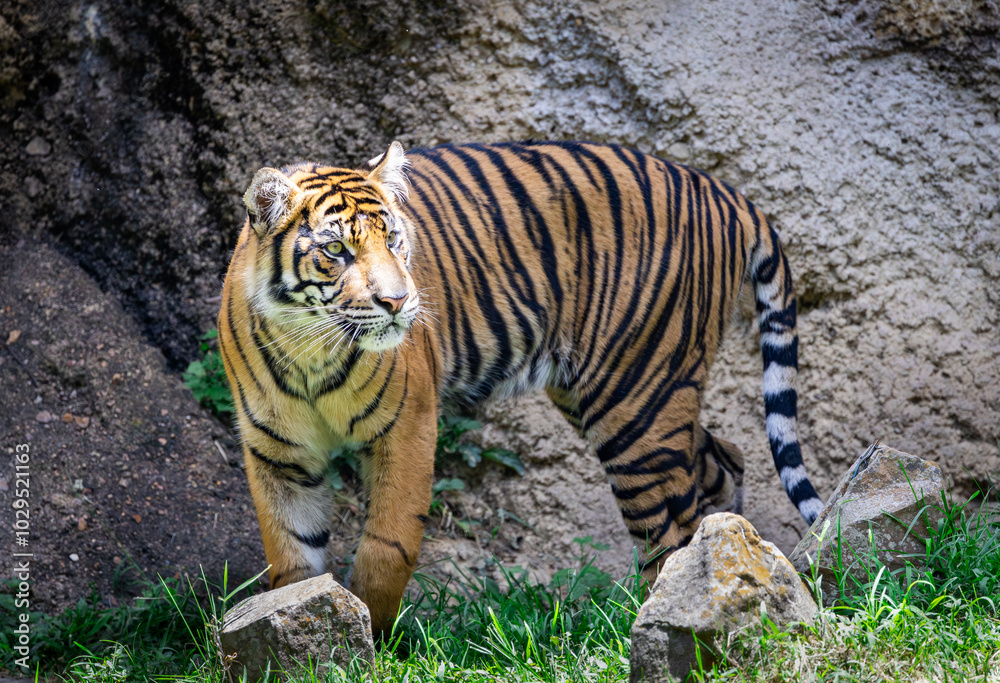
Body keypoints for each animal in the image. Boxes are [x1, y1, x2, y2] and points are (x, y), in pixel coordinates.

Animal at [218, 140, 824, 635]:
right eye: (336, 251)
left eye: (393, 239)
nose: (397, 302)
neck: (310, 350)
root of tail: (725, 191)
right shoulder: (277, 453)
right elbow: (293, 558)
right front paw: (307, 631)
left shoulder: (407, 427)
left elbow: (387, 547)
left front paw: (378, 639)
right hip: (617, 395)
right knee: (724, 460)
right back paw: (733, 554)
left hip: (634, 403)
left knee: (671, 527)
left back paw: (672, 613)